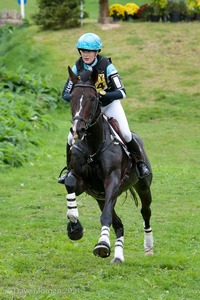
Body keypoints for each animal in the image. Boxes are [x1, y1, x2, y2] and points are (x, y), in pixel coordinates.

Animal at [61, 66, 154, 262]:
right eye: (72, 97)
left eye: (93, 98)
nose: (78, 130)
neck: (93, 146)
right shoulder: (82, 182)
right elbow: (70, 184)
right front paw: (74, 227)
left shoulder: (112, 180)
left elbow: (105, 218)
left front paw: (102, 244)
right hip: (100, 198)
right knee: (118, 223)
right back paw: (118, 256)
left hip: (142, 186)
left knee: (145, 212)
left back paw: (148, 247)